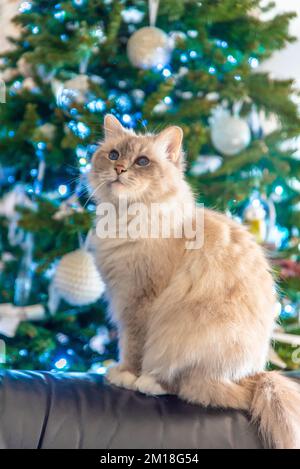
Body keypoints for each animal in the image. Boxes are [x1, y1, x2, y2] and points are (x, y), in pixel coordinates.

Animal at [90, 114, 300, 450]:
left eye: (142, 161)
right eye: (113, 155)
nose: (120, 169)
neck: (127, 219)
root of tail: (251, 375)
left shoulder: (138, 300)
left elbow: (132, 347)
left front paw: (125, 375)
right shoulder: (123, 296)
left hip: (183, 334)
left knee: (194, 387)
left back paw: (150, 382)